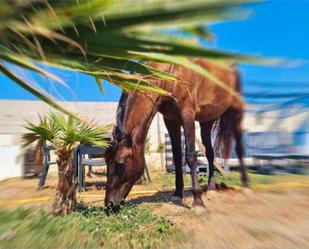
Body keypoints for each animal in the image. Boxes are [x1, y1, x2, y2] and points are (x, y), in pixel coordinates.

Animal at [103, 58, 248, 208]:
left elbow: (190, 156)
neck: (170, 75)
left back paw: (245, 186)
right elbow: (177, 157)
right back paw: (211, 188)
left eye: (121, 163)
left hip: (236, 112)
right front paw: (178, 194)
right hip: (207, 121)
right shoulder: (171, 120)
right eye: (106, 161)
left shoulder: (187, 116)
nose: (109, 203)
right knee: (210, 153)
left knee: (239, 148)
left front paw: (198, 201)